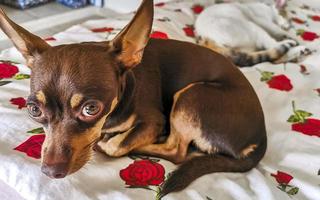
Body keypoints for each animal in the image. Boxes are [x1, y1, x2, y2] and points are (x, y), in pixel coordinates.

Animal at [0, 0, 268, 197]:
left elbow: (116, 146)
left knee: (177, 151)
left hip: (191, 96)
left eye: (91, 108)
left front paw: (112, 141)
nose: (50, 171)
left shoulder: (153, 120)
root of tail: (260, 137)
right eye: (34, 110)